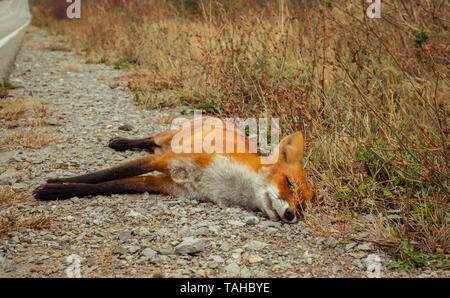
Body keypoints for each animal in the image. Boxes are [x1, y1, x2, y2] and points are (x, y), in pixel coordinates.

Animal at [33, 117, 314, 222]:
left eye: (301, 207)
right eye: (289, 183)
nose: (291, 215)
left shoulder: (163, 184)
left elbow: (111, 184)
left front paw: (57, 189)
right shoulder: (165, 163)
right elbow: (102, 174)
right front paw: (54, 183)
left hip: (164, 150)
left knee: (151, 144)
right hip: (167, 143)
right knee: (149, 139)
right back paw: (120, 142)